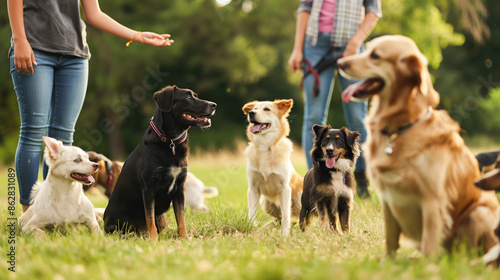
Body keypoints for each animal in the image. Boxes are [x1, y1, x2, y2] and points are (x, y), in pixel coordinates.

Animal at [103, 85, 215, 241]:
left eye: (195, 96)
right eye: (187, 97)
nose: (214, 105)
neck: (171, 142)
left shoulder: (179, 189)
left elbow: (181, 220)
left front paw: (185, 239)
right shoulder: (149, 189)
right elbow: (150, 220)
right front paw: (154, 241)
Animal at [243, 99, 304, 235]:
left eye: (267, 109)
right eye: (254, 108)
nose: (251, 113)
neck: (265, 147)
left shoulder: (285, 188)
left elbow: (286, 216)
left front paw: (285, 234)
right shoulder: (252, 188)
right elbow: (251, 213)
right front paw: (251, 229)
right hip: (266, 203)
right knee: (278, 219)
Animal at [338, 34, 498, 256]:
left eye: (375, 55)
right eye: (367, 49)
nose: (339, 62)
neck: (400, 128)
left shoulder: (434, 202)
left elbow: (430, 245)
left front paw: (426, 265)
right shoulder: (387, 199)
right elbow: (390, 241)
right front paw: (387, 262)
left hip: (479, 212)